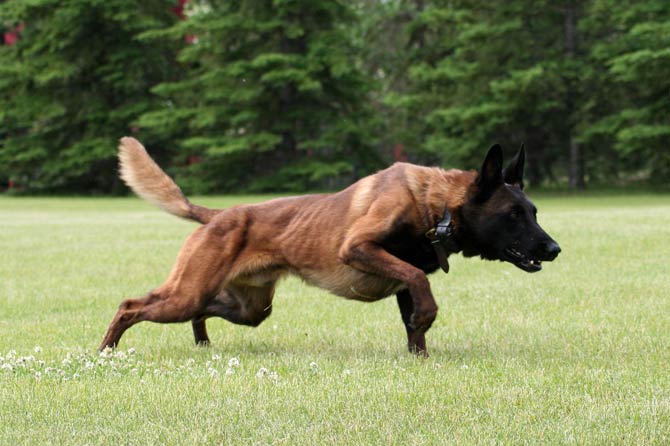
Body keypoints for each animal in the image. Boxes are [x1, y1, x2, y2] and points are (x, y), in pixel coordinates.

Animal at [101, 139, 560, 356]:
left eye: (534, 211)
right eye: (513, 215)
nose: (554, 248)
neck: (436, 207)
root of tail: (217, 215)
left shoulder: (401, 284)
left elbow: (414, 323)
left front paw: (420, 358)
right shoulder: (358, 248)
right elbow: (419, 284)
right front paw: (428, 316)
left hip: (250, 307)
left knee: (201, 312)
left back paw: (200, 343)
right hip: (187, 292)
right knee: (130, 305)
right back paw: (105, 352)